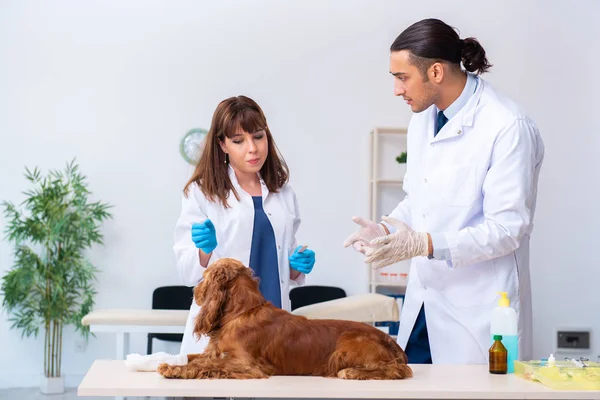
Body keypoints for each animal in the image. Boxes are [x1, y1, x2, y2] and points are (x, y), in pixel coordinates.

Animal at [157, 258, 412, 380]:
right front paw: (172, 362)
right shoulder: (218, 354)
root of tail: (392, 341)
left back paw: (353, 372)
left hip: (345, 350)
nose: (195, 291)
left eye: (205, 276)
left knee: (399, 370)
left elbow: (208, 364)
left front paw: (174, 369)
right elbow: (194, 357)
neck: (241, 313)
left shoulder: (247, 364)